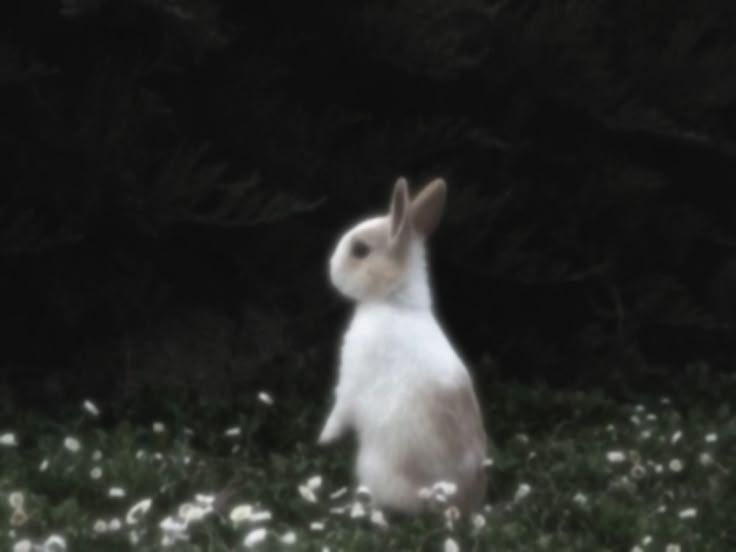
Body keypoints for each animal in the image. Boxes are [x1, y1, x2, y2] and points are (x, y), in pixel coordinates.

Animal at [318, 177, 486, 512]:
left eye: (360, 250)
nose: (330, 268)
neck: (393, 301)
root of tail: (458, 501)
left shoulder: (351, 381)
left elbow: (339, 412)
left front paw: (323, 440)